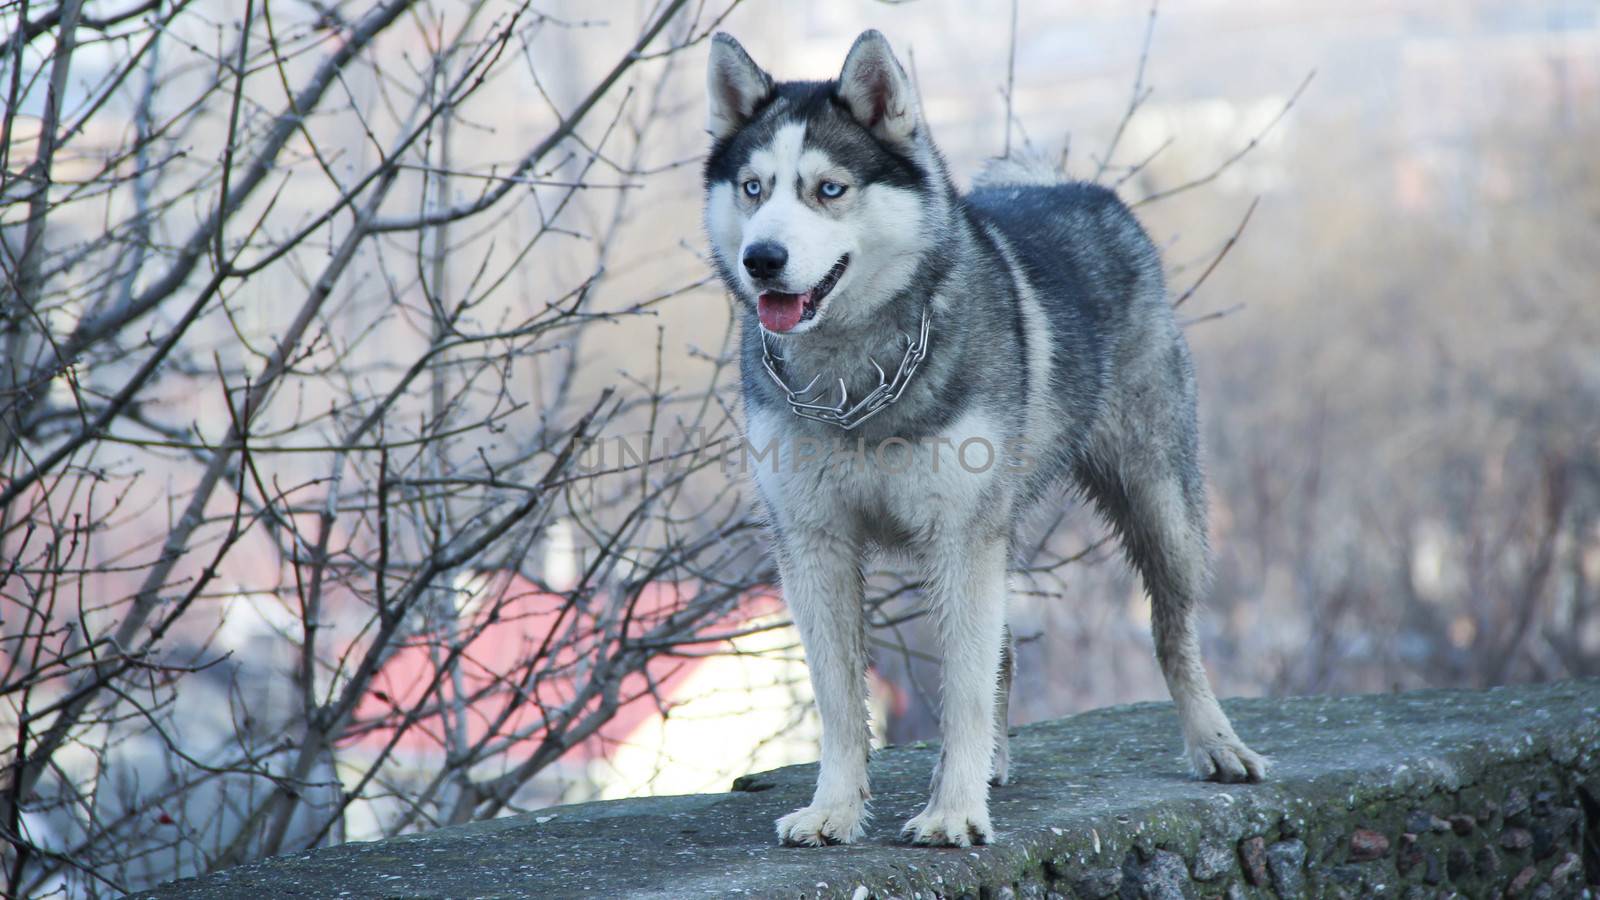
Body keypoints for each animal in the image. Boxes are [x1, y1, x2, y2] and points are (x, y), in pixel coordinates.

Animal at [707, 26, 1267, 839]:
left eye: (829, 190)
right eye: (753, 188)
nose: (762, 259)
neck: (855, 377)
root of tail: (1072, 188)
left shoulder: (961, 535)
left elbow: (964, 690)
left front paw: (951, 814)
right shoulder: (812, 542)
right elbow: (839, 699)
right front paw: (835, 809)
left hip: (1159, 504)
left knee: (1172, 631)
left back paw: (1214, 741)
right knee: (1002, 648)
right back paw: (994, 764)